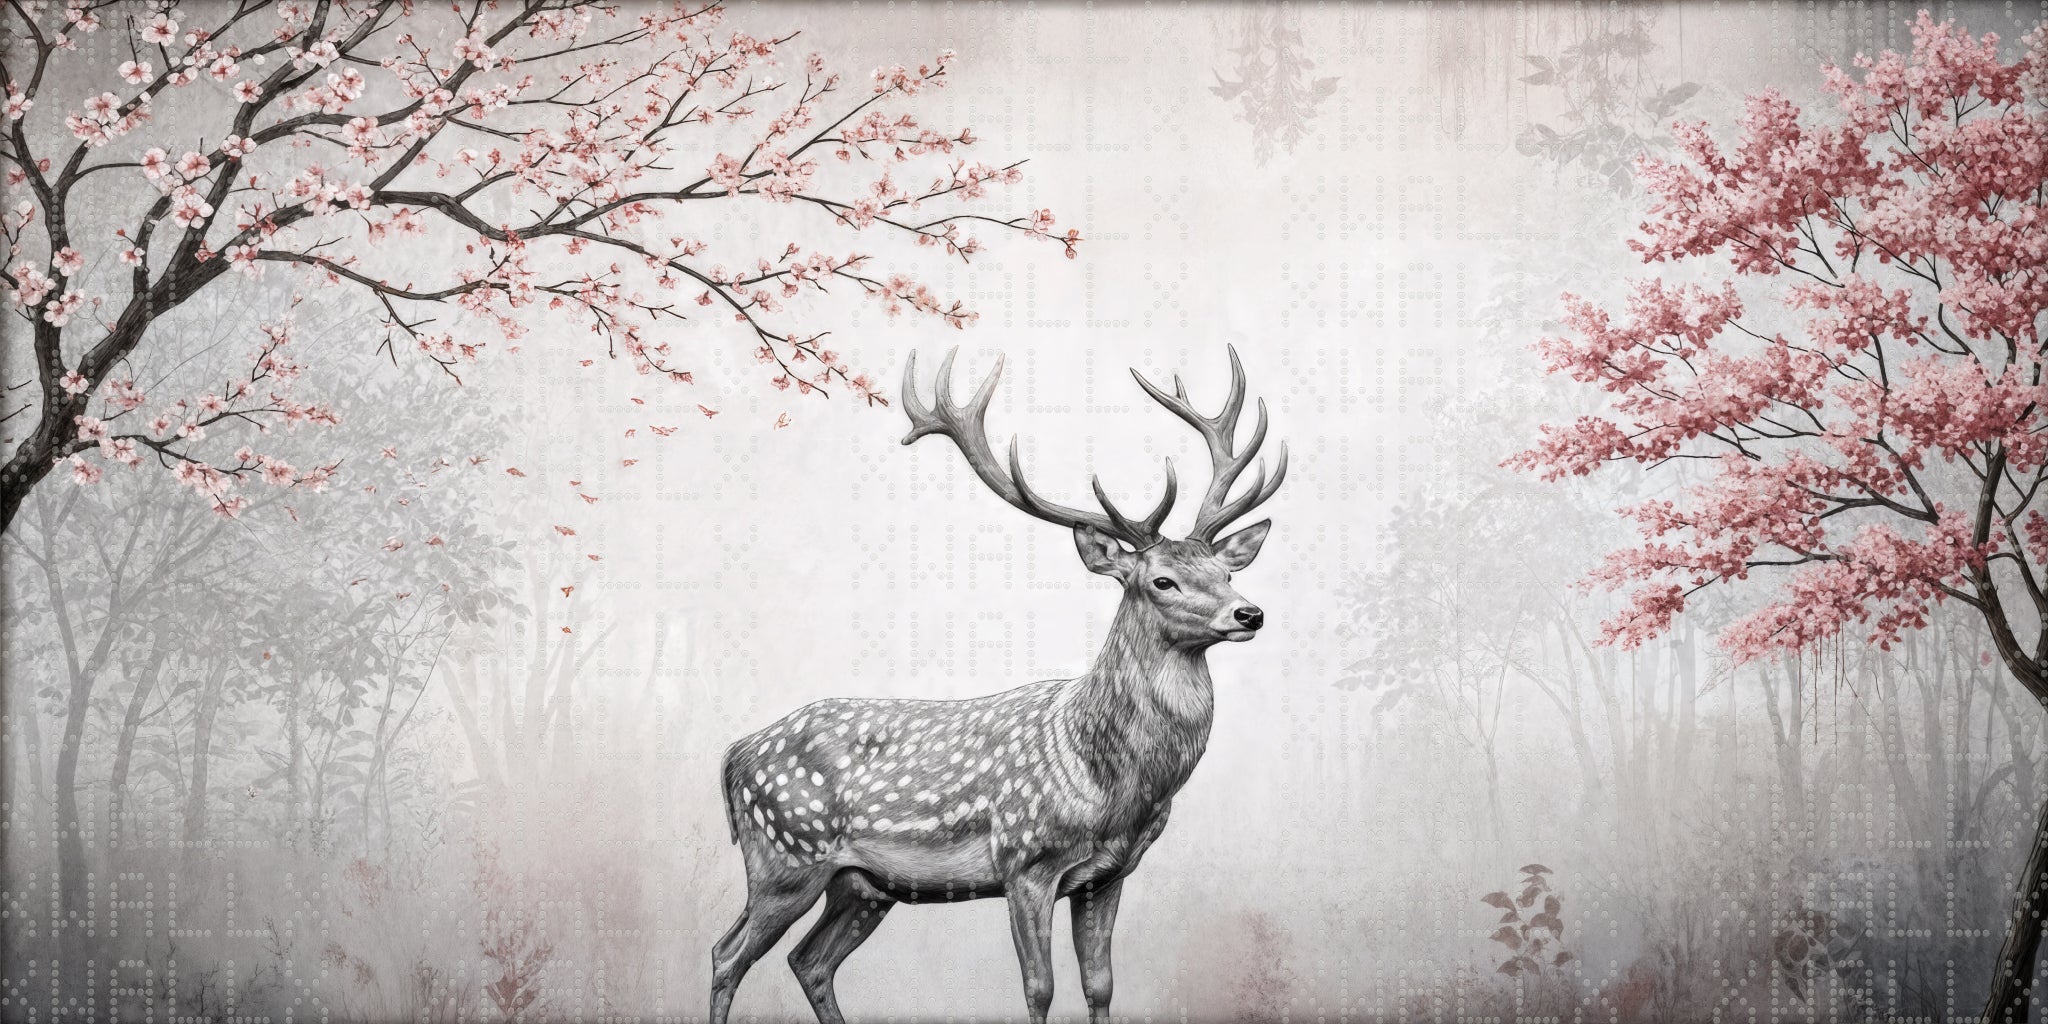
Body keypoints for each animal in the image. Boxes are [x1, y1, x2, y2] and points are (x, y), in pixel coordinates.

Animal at [710, 345, 1287, 1024]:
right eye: (1161, 581)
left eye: (1226, 571)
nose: (1249, 614)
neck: (1116, 786)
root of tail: (735, 754)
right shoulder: (1023, 860)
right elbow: (1039, 988)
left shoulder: (1110, 873)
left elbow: (1100, 984)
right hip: (785, 855)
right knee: (728, 954)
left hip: (864, 886)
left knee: (809, 960)